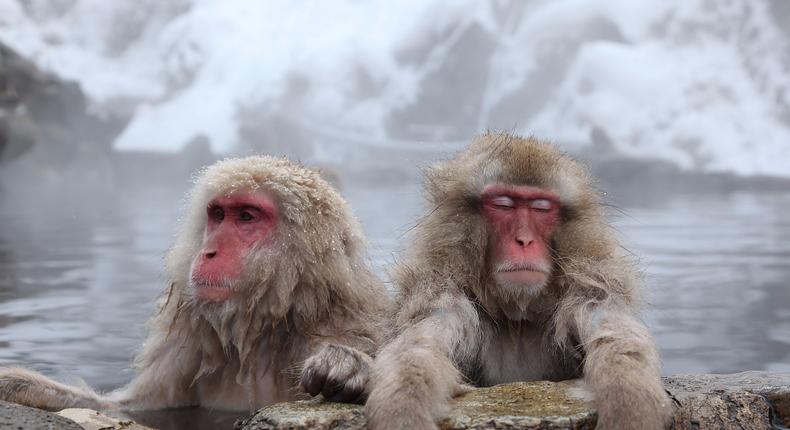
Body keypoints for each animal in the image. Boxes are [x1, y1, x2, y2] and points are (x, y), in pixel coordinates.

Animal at [0, 156, 386, 412]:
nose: (208, 251)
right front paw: (18, 384)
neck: (263, 331)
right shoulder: (188, 343)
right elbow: (133, 407)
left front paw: (348, 368)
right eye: (218, 215)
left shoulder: (345, 326)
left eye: (247, 217)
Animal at [366, 134, 676, 430]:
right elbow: (417, 349)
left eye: (541, 207)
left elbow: (615, 338)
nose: (524, 240)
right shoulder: (442, 294)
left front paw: (629, 408)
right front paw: (403, 413)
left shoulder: (590, 289)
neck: (518, 318)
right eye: (503, 204)